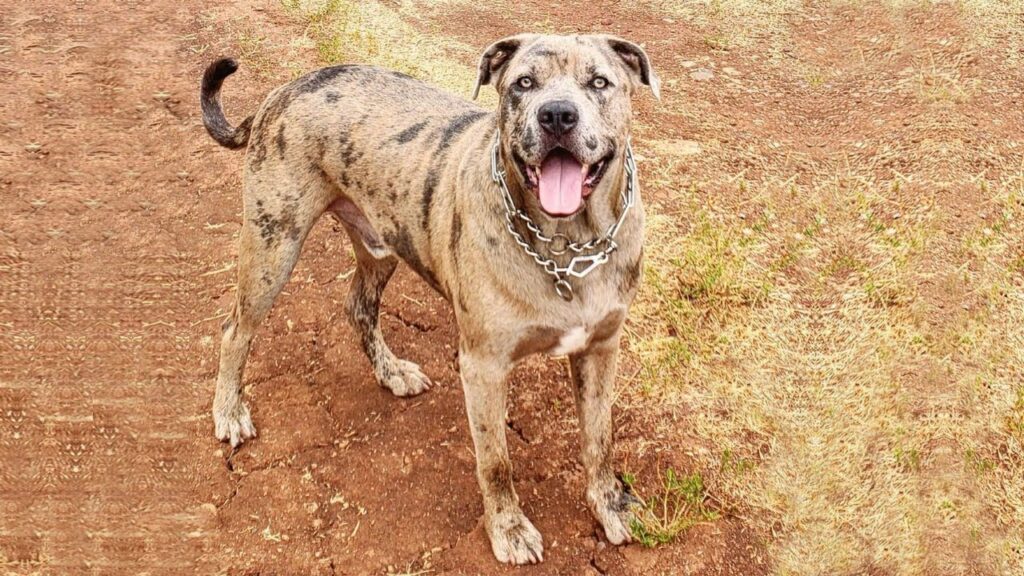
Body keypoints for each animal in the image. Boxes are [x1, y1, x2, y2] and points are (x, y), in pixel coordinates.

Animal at [203, 33, 659, 561]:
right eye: (524, 83)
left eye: (599, 82)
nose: (558, 115)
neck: (567, 246)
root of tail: (286, 88)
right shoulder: (483, 366)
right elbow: (495, 460)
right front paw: (507, 527)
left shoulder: (601, 349)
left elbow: (600, 439)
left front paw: (611, 504)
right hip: (273, 244)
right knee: (236, 329)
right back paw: (229, 410)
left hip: (380, 244)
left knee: (359, 307)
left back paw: (391, 372)